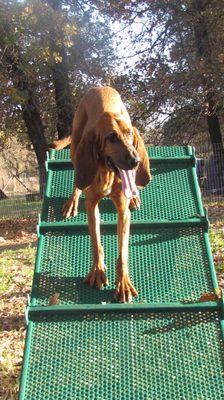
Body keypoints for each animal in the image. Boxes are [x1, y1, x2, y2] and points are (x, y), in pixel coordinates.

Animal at [51, 86, 151, 302]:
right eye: (111, 137)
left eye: (129, 134)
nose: (135, 161)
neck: (107, 173)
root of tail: (100, 87)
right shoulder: (91, 205)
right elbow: (96, 242)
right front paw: (97, 271)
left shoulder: (122, 211)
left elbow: (122, 251)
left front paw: (123, 283)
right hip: (76, 145)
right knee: (77, 179)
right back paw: (72, 201)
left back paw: (135, 197)